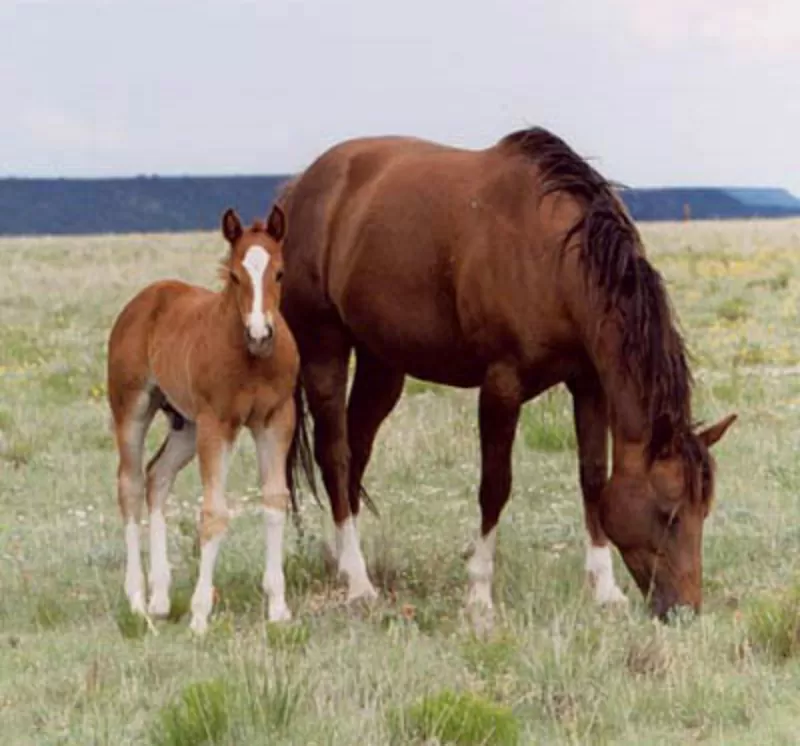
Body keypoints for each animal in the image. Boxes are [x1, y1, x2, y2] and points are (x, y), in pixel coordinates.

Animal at [104, 205, 296, 632]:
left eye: (279, 273)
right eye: (235, 276)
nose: (260, 333)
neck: (251, 361)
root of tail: (147, 297)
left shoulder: (276, 419)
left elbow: (276, 500)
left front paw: (278, 607)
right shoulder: (217, 424)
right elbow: (213, 514)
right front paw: (199, 615)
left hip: (185, 426)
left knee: (157, 476)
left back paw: (160, 597)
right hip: (132, 409)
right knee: (130, 485)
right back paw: (138, 599)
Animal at [276, 128, 736, 620]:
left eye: (704, 510)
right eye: (670, 513)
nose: (686, 610)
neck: (555, 257)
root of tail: (299, 187)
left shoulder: (589, 384)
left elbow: (593, 478)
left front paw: (604, 588)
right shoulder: (501, 385)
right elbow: (495, 486)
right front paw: (479, 592)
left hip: (382, 364)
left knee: (356, 455)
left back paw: (343, 562)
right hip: (324, 349)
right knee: (335, 456)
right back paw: (359, 582)